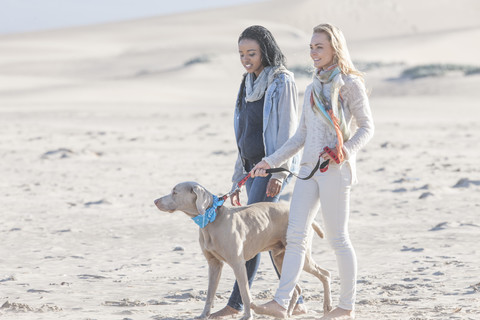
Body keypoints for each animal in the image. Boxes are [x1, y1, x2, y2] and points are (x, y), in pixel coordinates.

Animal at [153, 181, 330, 318]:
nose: (155, 201)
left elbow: (245, 293)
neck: (210, 220)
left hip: (301, 255)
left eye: (175, 192)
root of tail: (309, 219)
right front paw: (204, 315)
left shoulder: (238, 263)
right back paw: (285, 313)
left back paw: (327, 306)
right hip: (280, 257)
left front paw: (247, 316)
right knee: (297, 288)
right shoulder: (214, 264)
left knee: (325, 274)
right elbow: (210, 294)